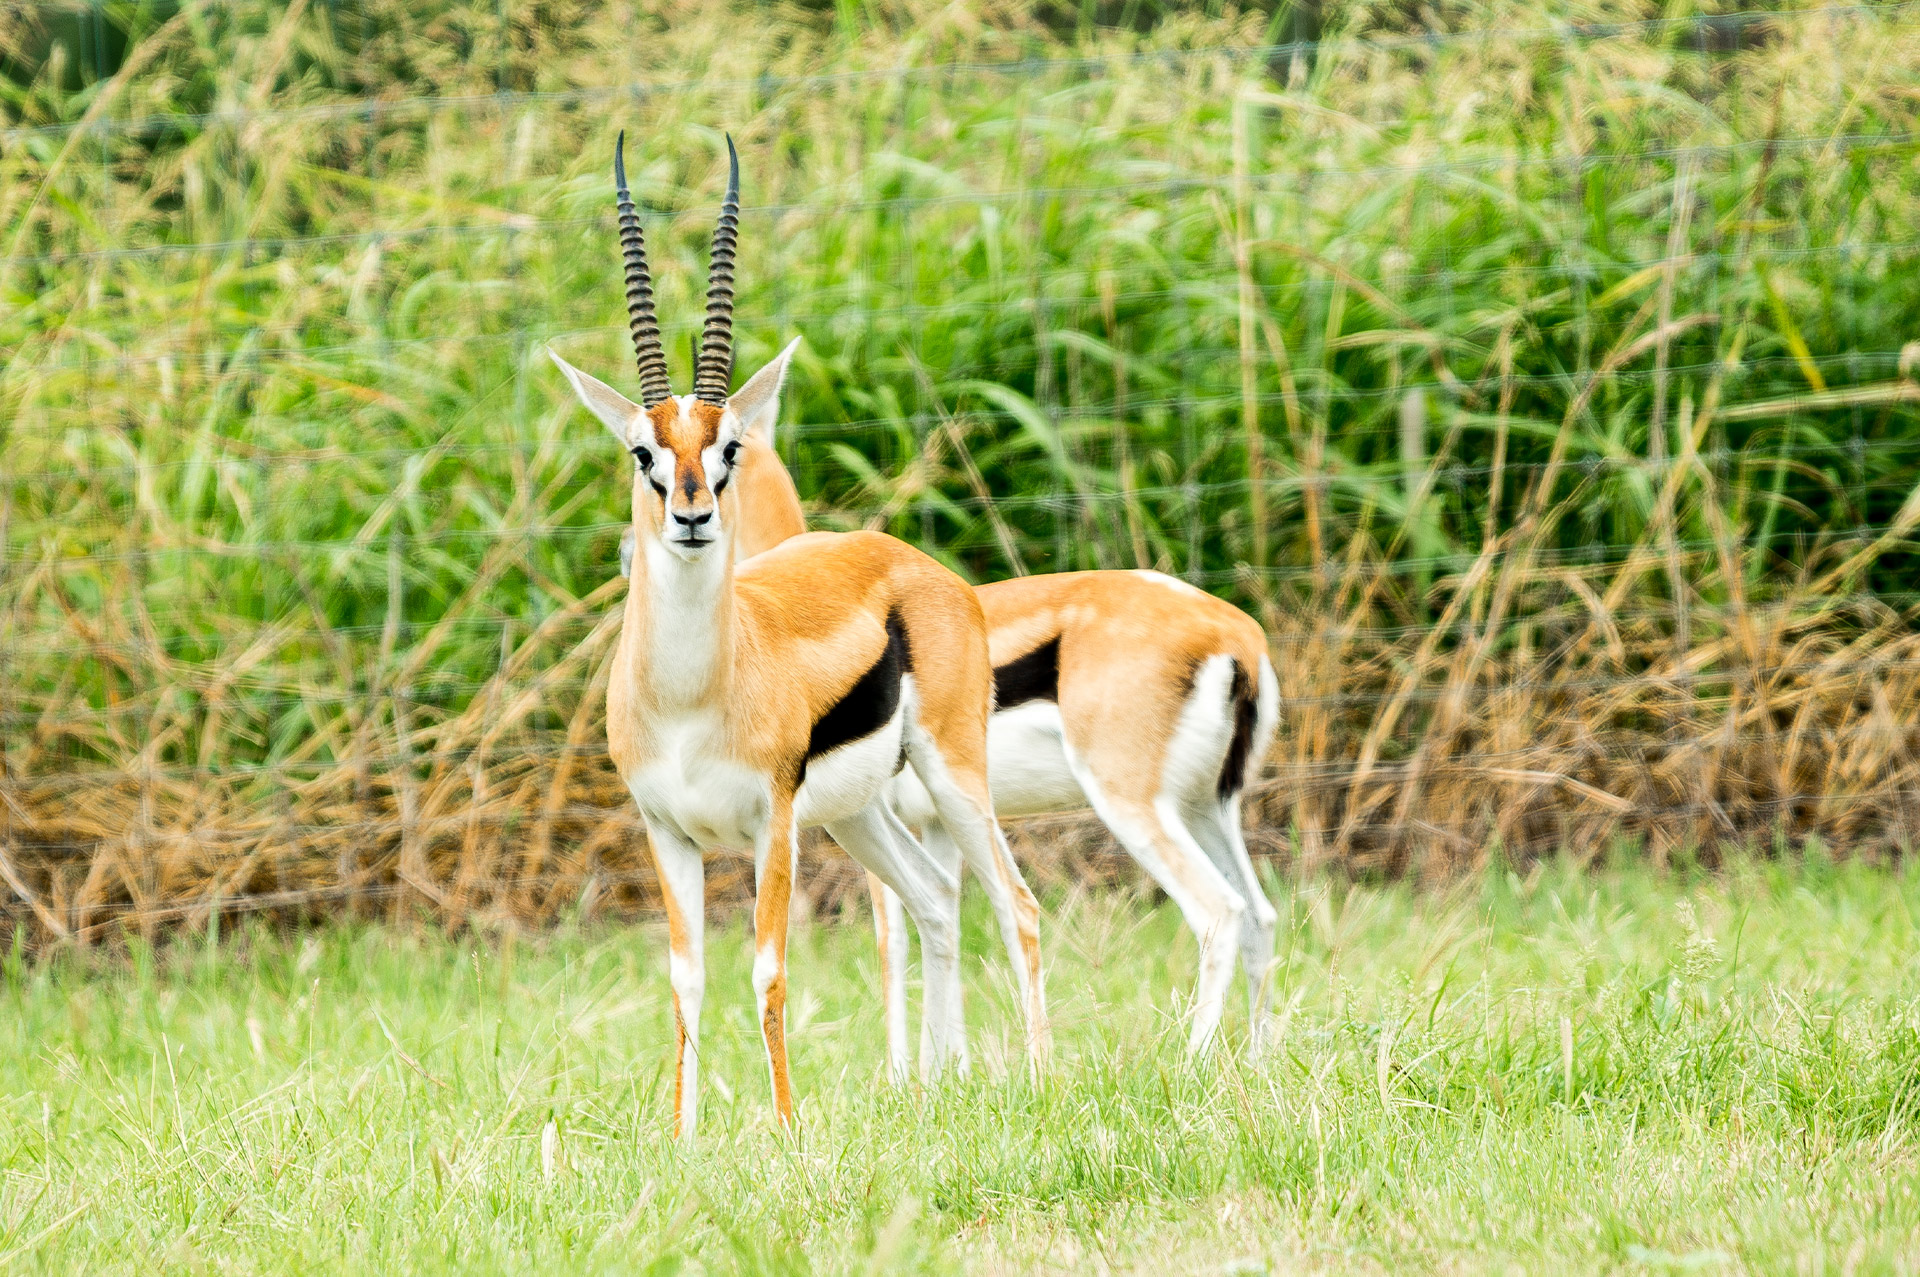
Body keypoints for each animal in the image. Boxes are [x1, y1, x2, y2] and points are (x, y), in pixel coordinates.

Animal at [556, 134, 1046, 1137]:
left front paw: (784, 1127)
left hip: (952, 774)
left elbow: (769, 970)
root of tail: (917, 565)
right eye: (643, 452)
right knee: (935, 898)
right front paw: (683, 1136)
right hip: (860, 813)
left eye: (730, 447)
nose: (692, 516)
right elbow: (685, 983)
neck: (689, 702)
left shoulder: (770, 826)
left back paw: (1044, 1080)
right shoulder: (667, 832)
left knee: (1014, 905)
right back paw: (938, 1085)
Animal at [632, 421, 1283, 1066]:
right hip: (1205, 808)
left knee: (1218, 910)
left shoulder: (870, 816)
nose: (680, 524)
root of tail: (1237, 633)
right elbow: (942, 916)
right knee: (1260, 914)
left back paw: (1191, 1064)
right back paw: (1255, 1064)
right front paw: (949, 1071)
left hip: (1129, 804)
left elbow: (894, 939)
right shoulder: (931, 824)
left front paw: (905, 1076)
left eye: (722, 456)